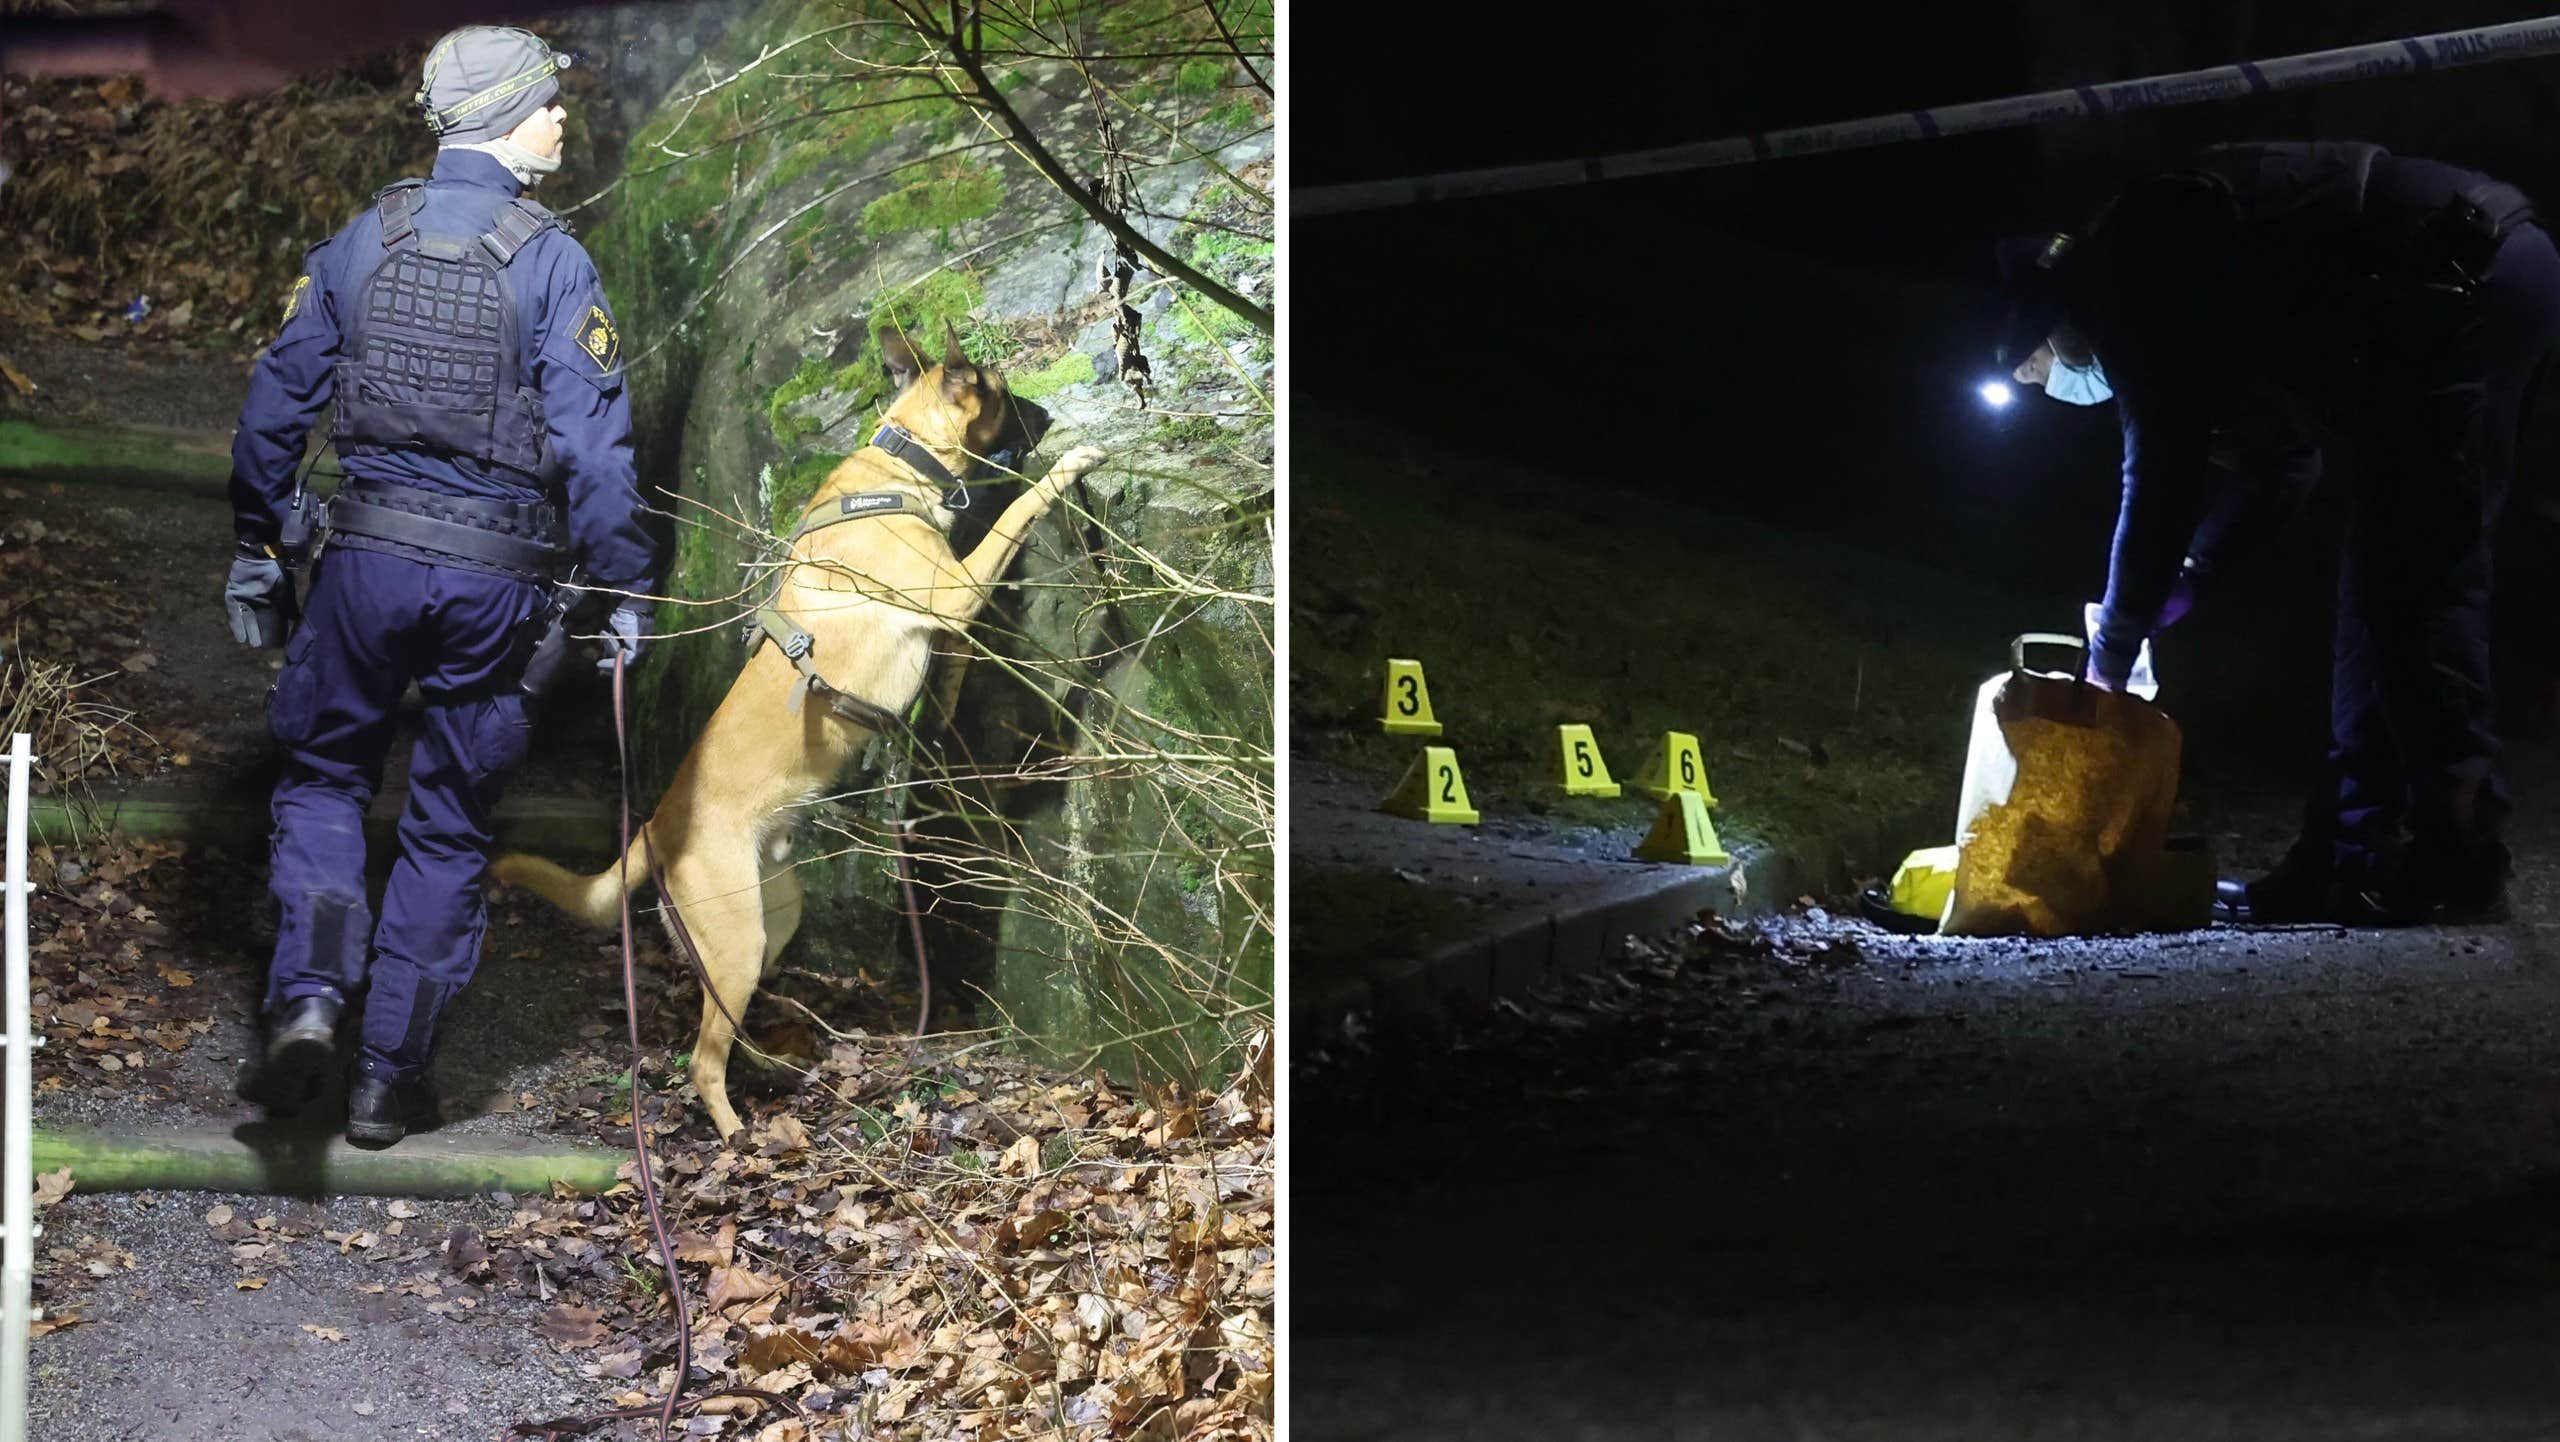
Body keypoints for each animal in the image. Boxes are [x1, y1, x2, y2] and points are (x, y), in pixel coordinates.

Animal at [494, 321, 1105, 1147]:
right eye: (1007, 394)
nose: (1048, 417)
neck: (899, 464)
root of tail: (656, 824)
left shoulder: (949, 625)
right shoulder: (955, 590)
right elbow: (1016, 517)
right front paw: (1071, 467)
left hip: (771, 922)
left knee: (727, 1022)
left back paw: (772, 1070)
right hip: (738, 937)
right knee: (701, 1061)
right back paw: (736, 1135)